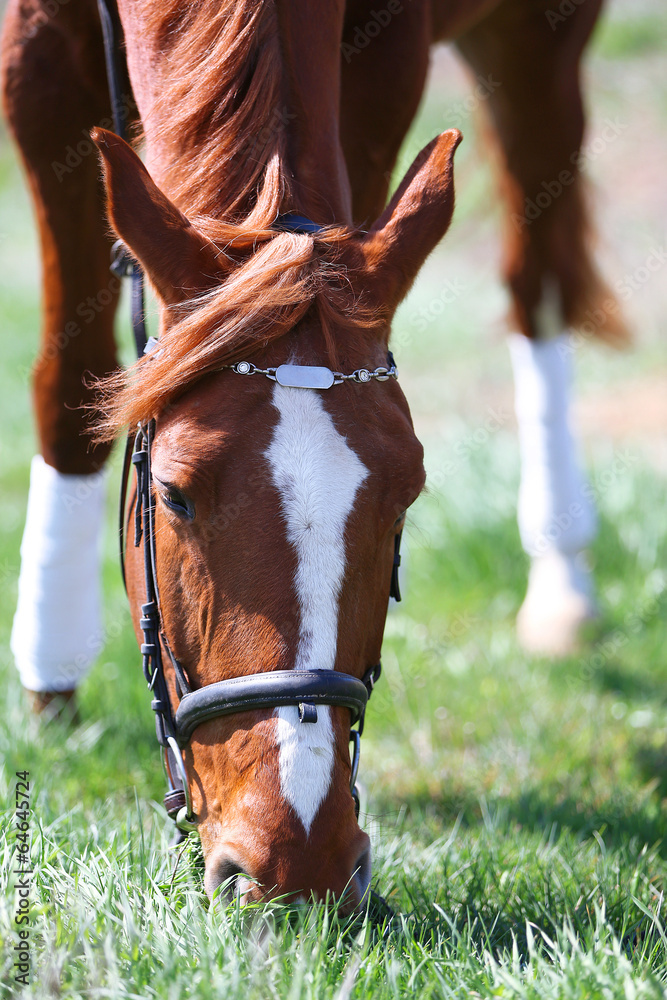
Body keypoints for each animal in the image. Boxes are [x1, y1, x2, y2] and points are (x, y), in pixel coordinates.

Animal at [1, 0, 624, 906]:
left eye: (405, 499)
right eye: (174, 495)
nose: (293, 865)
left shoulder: (384, 65)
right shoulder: (36, 61)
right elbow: (71, 377)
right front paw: (51, 694)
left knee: (533, 285)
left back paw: (562, 578)